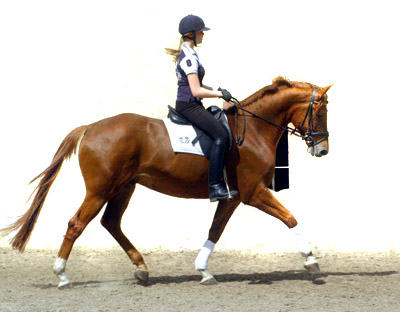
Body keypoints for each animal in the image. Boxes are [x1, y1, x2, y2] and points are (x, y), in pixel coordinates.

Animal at [0, 77, 332, 288]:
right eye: (321, 111)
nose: (322, 149)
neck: (251, 131)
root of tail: (91, 127)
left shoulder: (234, 196)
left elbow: (215, 230)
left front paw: (204, 271)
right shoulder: (253, 193)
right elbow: (290, 218)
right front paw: (311, 261)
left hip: (124, 187)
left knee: (111, 223)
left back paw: (142, 270)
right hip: (100, 189)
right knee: (76, 224)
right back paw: (62, 275)